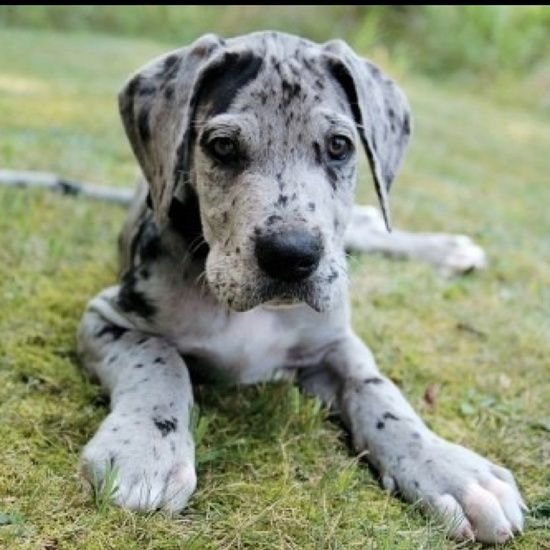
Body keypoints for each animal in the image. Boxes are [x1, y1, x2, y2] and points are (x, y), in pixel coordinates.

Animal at [78, 32, 528, 544]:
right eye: (222, 146)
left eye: (338, 145)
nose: (291, 255)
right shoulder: (107, 316)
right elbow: (158, 358)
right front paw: (144, 447)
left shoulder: (335, 342)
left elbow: (380, 392)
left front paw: (449, 468)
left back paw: (449, 250)